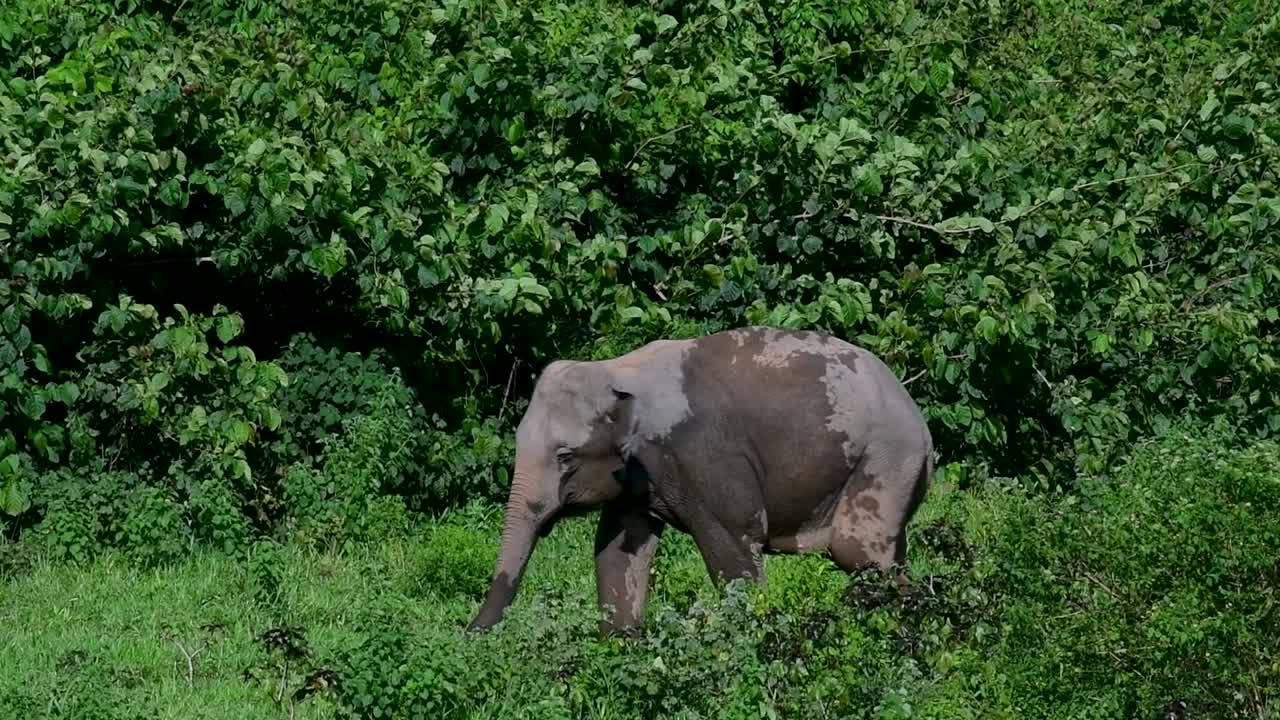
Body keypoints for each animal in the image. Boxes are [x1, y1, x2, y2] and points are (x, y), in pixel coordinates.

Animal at [466, 325, 935, 635]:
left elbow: (734, 549)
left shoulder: (707, 458)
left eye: (565, 457)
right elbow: (616, 553)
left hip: (885, 459)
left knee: (857, 552)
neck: (618, 370)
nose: (470, 633)